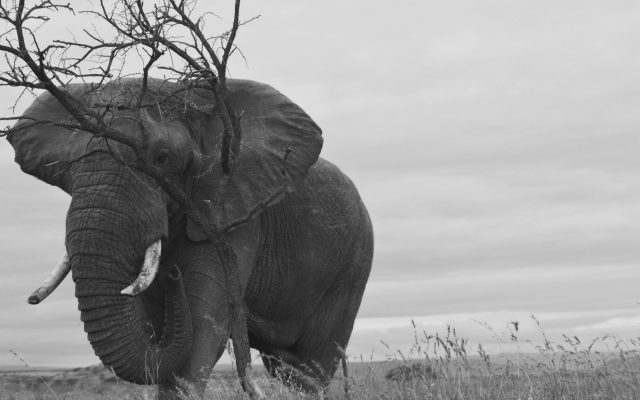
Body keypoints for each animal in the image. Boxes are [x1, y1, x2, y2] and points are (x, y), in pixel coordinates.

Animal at [6, 76, 376, 398]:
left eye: (162, 158)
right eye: (69, 165)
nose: (173, 275)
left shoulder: (233, 215)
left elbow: (203, 323)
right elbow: (155, 329)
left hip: (353, 264)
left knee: (310, 367)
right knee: (285, 366)